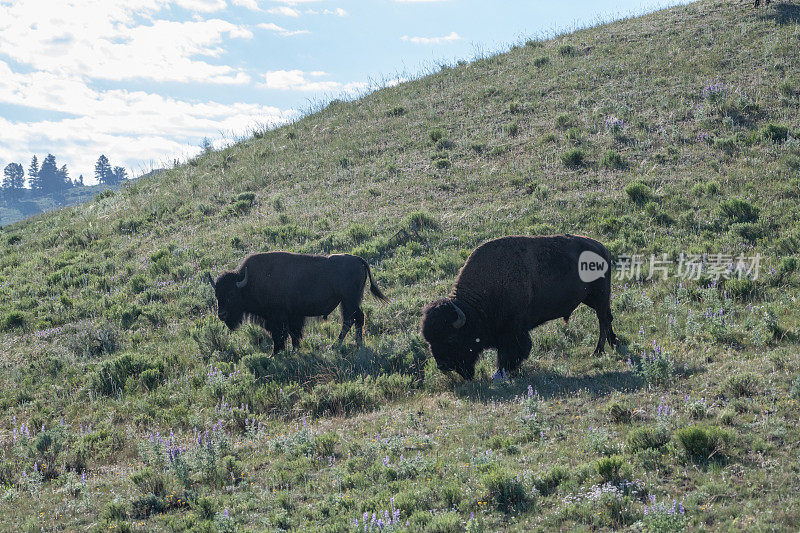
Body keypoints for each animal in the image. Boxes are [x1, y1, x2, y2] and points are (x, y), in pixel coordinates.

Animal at [206, 250, 388, 354]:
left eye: (231, 294)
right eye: (217, 294)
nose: (221, 314)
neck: (248, 281)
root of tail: (358, 260)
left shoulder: (278, 318)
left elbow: (280, 335)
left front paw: (275, 354)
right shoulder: (292, 316)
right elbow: (293, 333)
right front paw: (294, 349)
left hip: (348, 300)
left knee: (351, 319)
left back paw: (337, 346)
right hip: (350, 301)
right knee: (356, 318)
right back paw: (355, 344)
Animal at [418, 234, 620, 378]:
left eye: (451, 338)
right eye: (429, 340)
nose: (442, 365)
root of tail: (603, 248)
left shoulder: (513, 332)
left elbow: (514, 351)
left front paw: (504, 371)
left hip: (599, 296)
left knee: (602, 319)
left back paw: (598, 351)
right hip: (591, 299)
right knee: (608, 317)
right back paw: (614, 343)